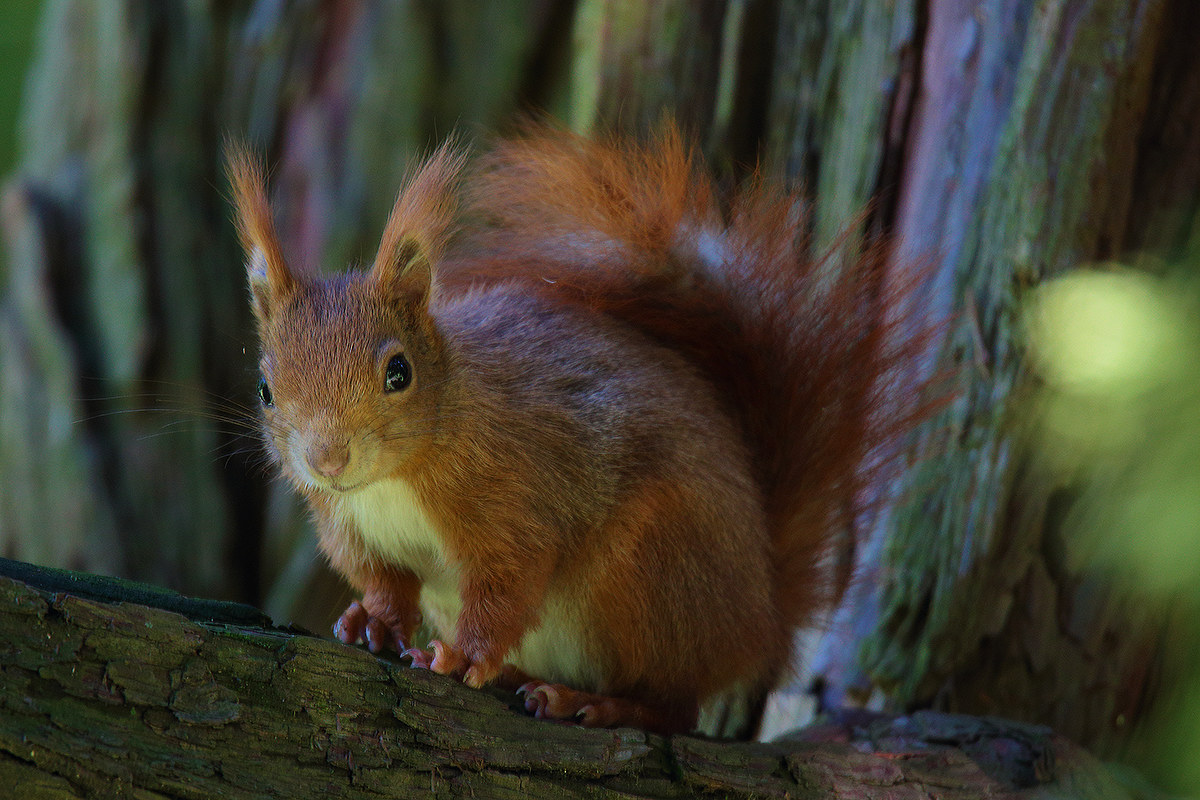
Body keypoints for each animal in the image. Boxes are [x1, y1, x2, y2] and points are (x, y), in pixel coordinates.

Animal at [227, 123, 921, 736]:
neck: (394, 479)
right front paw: (373, 621)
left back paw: (594, 703)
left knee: (676, 706)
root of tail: (763, 617)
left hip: (647, 565)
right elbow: (386, 579)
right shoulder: (353, 528)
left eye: (399, 372)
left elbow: (507, 581)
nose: (327, 459)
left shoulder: (516, 493)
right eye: (265, 389)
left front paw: (462, 656)